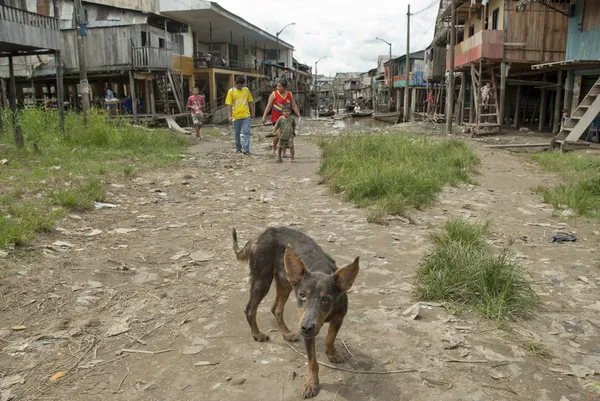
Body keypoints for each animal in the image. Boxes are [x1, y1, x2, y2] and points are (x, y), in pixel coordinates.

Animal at [232, 225, 358, 396]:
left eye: (326, 299)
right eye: (302, 295)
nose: (306, 327)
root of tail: (263, 233)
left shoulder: (339, 317)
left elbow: (330, 337)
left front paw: (332, 353)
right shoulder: (307, 330)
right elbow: (312, 361)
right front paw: (311, 383)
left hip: (285, 282)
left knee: (276, 309)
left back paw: (286, 333)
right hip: (262, 280)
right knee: (250, 309)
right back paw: (257, 334)